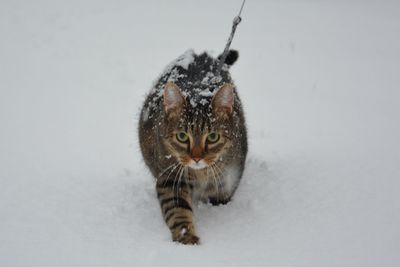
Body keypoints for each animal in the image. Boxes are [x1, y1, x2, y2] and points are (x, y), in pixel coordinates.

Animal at [139, 48, 248, 245]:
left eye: (213, 137)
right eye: (182, 137)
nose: (196, 157)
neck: (201, 174)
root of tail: (202, 55)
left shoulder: (227, 180)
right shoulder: (170, 177)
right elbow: (177, 211)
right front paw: (187, 237)